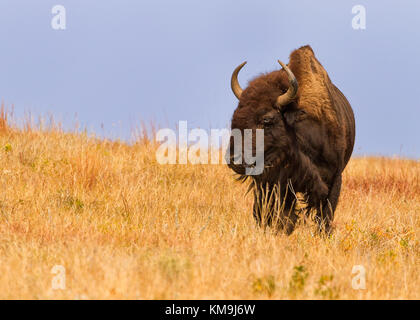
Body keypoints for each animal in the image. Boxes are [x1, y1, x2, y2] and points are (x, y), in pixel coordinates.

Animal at [226, 45, 354, 235]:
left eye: (267, 119)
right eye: (235, 115)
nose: (234, 159)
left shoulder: (335, 179)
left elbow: (325, 217)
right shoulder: (281, 184)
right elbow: (284, 216)